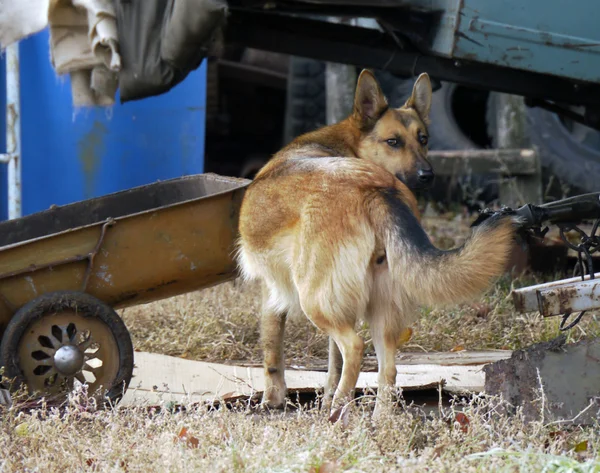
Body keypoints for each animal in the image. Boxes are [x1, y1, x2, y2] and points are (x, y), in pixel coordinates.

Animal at [236, 70, 520, 416]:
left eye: (422, 139)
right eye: (393, 141)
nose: (427, 175)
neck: (346, 145)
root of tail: (374, 188)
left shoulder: (272, 291)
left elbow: (272, 349)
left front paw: (273, 399)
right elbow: (332, 363)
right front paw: (324, 395)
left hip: (314, 299)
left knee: (355, 347)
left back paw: (338, 410)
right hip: (380, 306)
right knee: (388, 369)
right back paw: (378, 417)